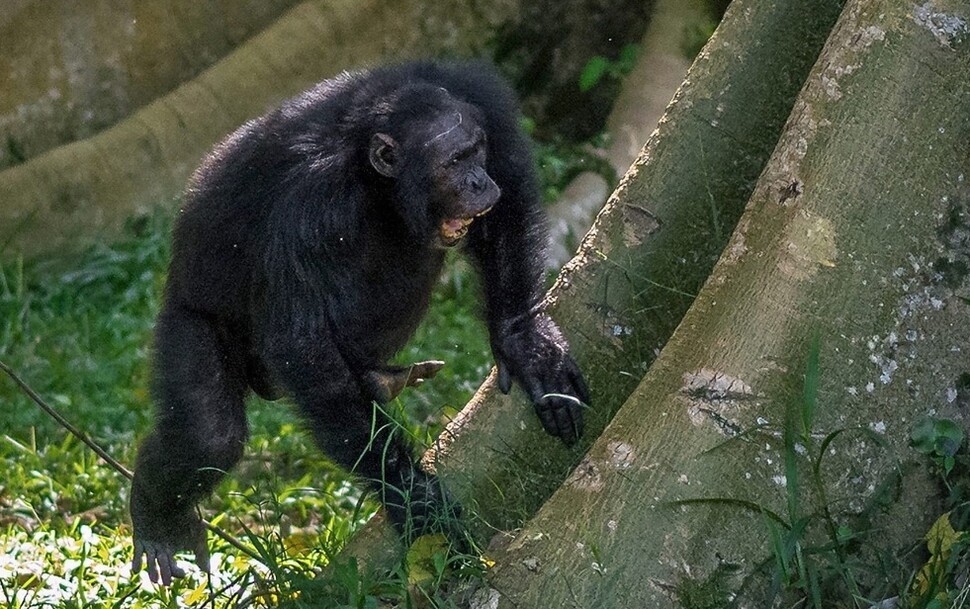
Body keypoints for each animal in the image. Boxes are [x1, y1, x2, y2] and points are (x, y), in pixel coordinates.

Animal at [130, 60, 588, 584]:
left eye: (477, 151)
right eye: (454, 162)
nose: (478, 182)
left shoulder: (480, 96)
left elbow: (508, 196)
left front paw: (524, 341)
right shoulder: (310, 209)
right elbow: (302, 344)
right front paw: (410, 494)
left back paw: (381, 379)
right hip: (187, 321)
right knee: (208, 434)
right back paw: (157, 521)